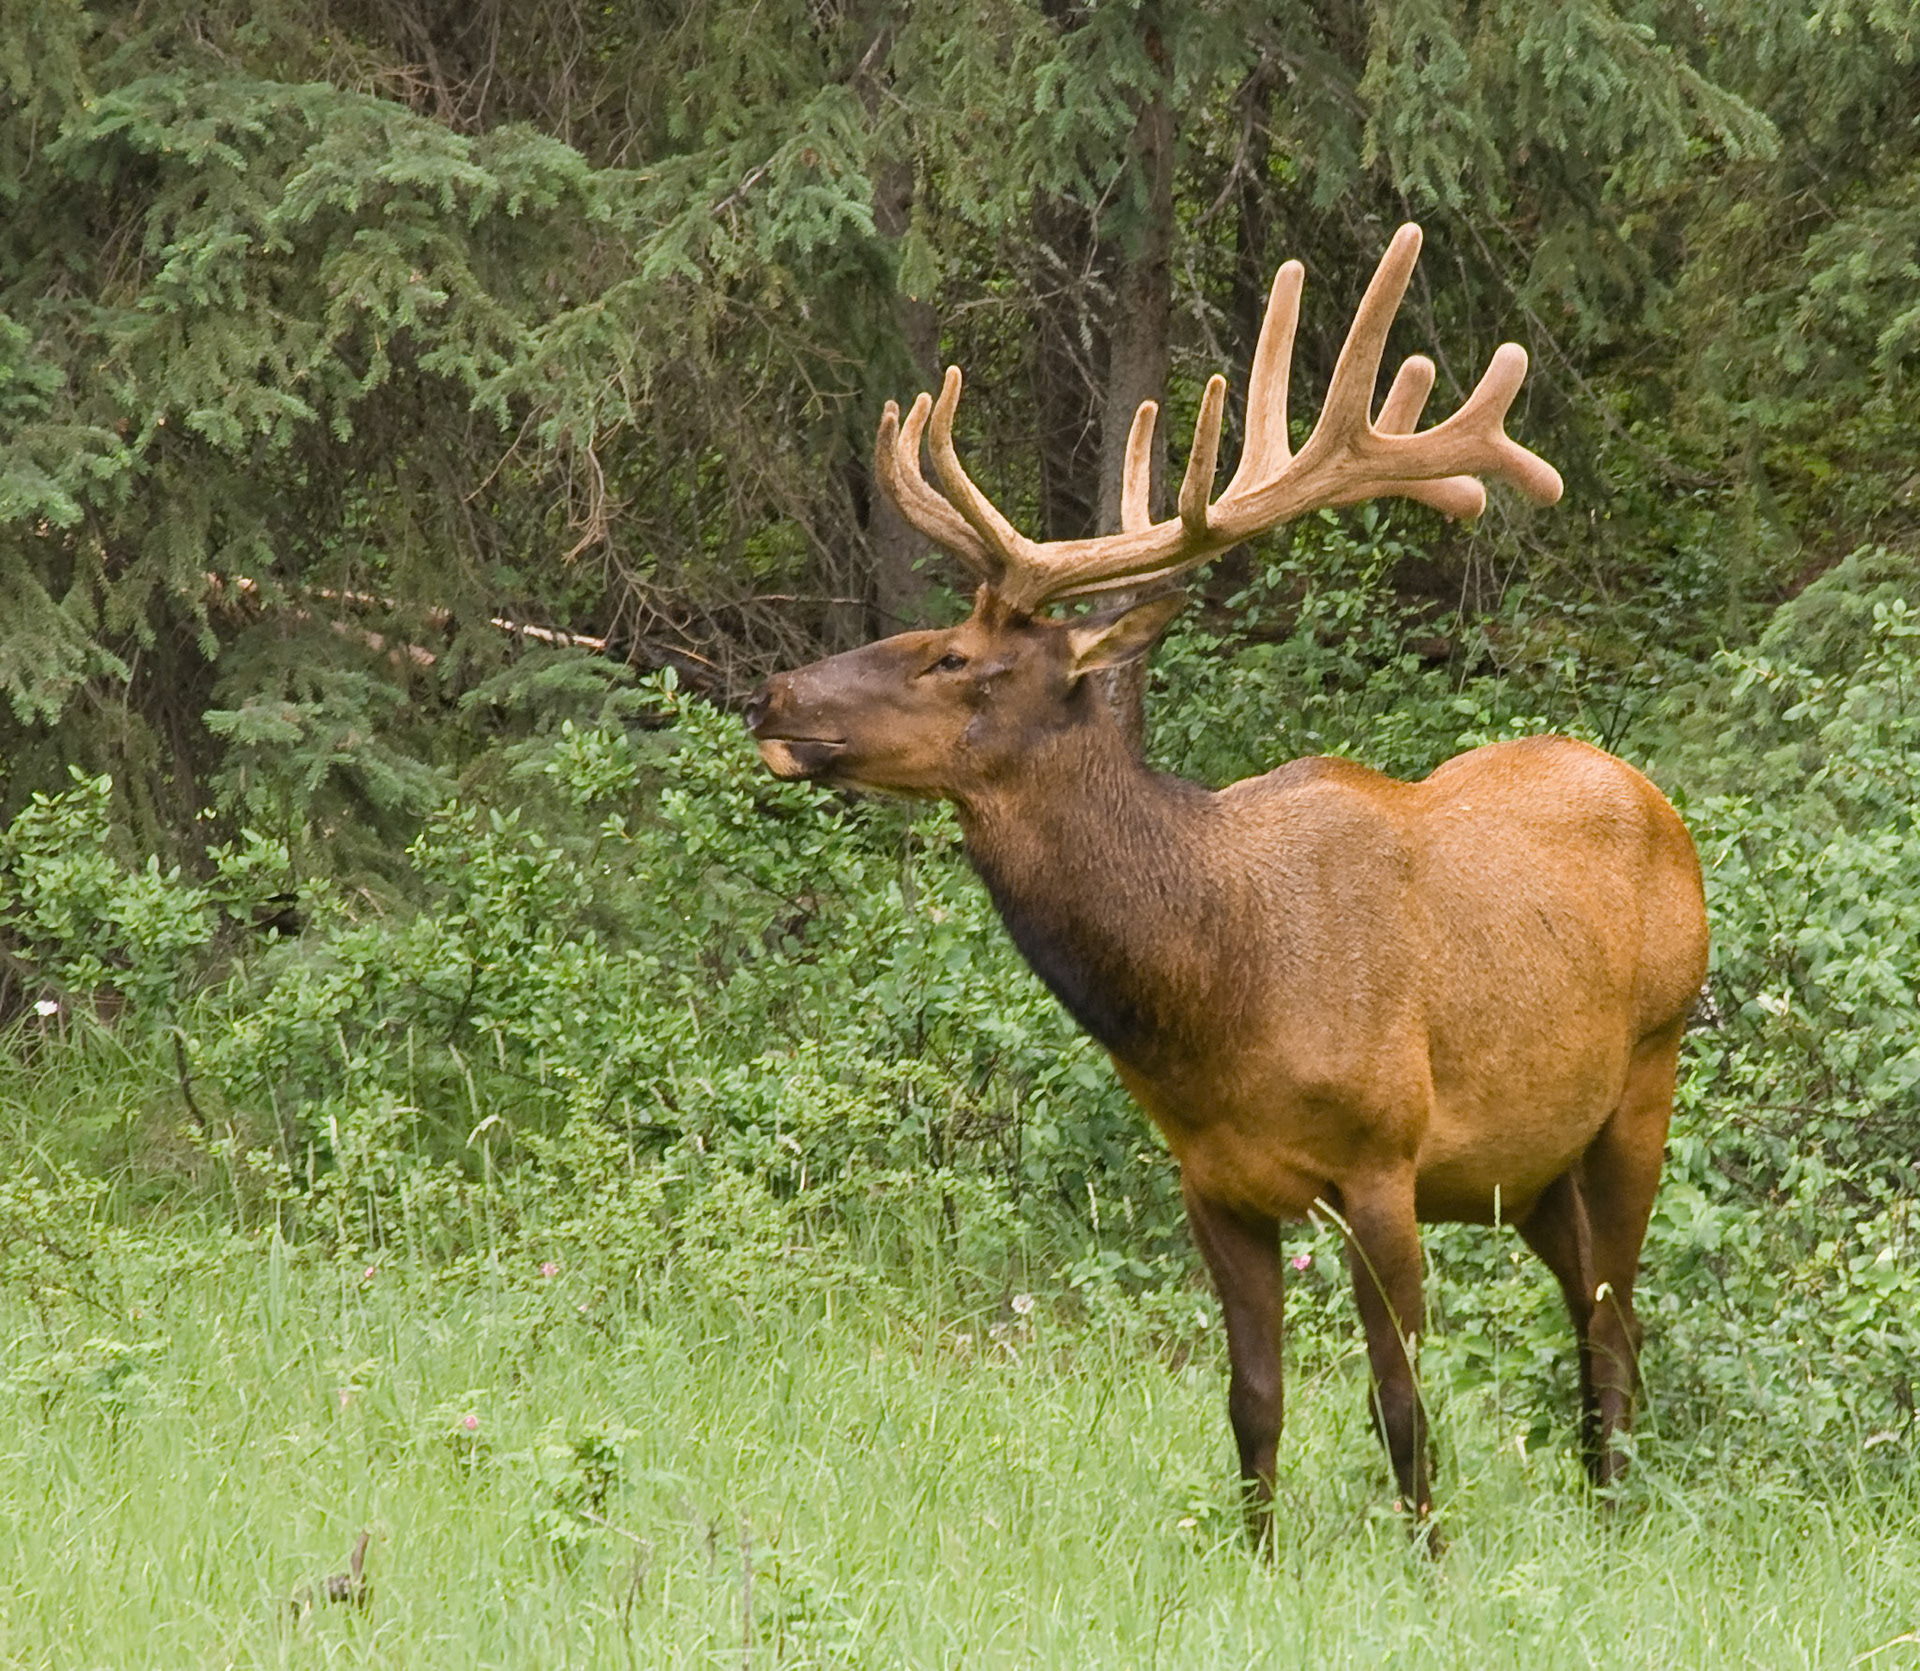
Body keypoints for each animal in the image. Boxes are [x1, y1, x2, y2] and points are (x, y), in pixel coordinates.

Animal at [744, 224, 1710, 1541]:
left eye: (953, 658)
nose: (773, 694)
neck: (1217, 995)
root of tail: (1656, 803)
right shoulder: (1211, 1183)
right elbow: (1253, 1402)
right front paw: (1256, 1558)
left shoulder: (1384, 1159)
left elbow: (1401, 1405)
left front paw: (1429, 1554)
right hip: (1529, 1168)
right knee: (1607, 1319)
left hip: (1644, 1079)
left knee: (1613, 1323)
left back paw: (1616, 1516)